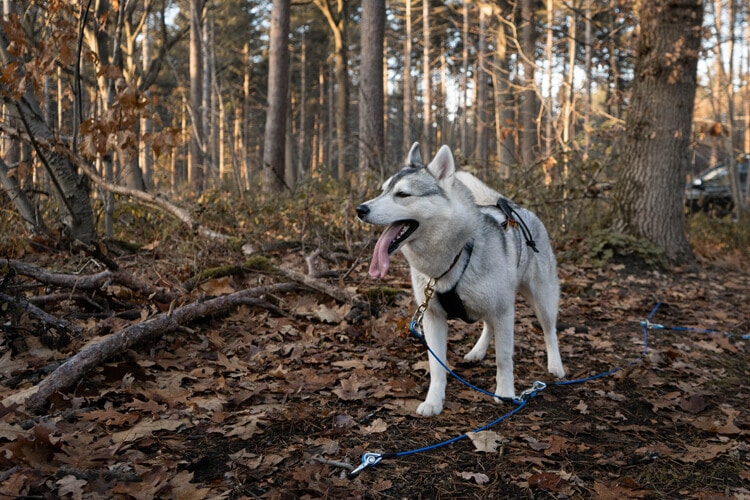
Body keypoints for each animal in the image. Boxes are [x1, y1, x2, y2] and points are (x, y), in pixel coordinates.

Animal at [356, 143, 564, 416]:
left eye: (402, 194)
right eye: (383, 191)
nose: (360, 209)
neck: (455, 257)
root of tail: (516, 207)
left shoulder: (503, 310)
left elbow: (504, 358)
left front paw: (506, 392)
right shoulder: (433, 317)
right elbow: (437, 366)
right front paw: (434, 401)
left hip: (541, 298)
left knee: (549, 331)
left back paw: (556, 365)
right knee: (488, 325)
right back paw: (478, 350)